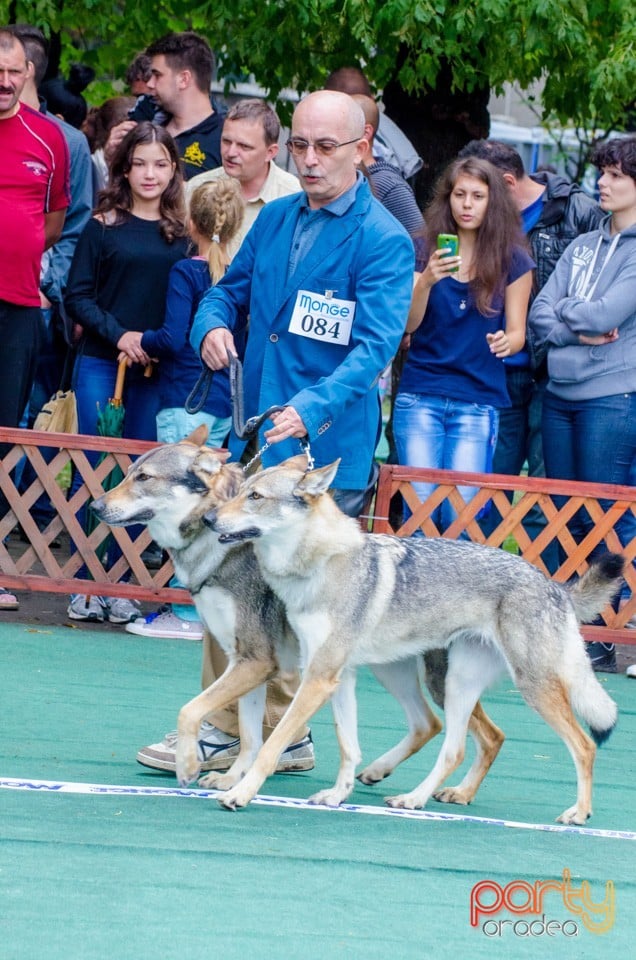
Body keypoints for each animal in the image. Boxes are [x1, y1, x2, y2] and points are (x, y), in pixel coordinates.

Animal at [93, 432, 502, 800]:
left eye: (144, 478)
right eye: (127, 474)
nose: (95, 506)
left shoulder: (256, 660)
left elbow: (191, 710)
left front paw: (190, 765)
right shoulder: (247, 661)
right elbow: (249, 736)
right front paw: (231, 779)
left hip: (436, 681)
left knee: (487, 734)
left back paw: (456, 793)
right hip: (391, 670)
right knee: (430, 725)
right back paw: (383, 774)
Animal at [205, 454, 620, 820]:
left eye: (255, 497)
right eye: (239, 491)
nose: (208, 519)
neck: (319, 567)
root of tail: (554, 586)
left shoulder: (319, 678)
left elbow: (271, 745)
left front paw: (240, 794)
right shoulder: (338, 677)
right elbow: (348, 747)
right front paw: (338, 796)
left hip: (527, 687)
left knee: (584, 746)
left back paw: (578, 814)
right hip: (450, 684)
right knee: (458, 745)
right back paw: (426, 797)